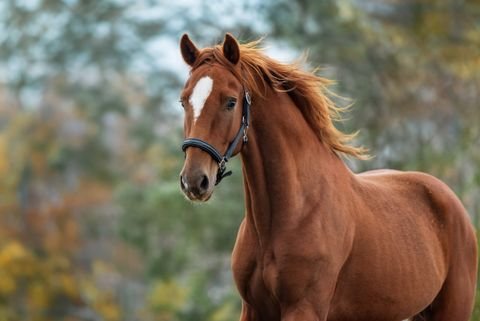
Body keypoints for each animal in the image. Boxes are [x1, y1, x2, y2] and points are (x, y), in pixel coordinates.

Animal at [178, 33, 478, 320]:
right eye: (183, 101)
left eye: (231, 102)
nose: (194, 181)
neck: (289, 213)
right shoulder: (253, 310)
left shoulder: (304, 308)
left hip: (452, 309)